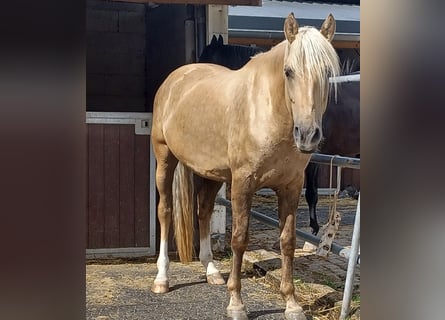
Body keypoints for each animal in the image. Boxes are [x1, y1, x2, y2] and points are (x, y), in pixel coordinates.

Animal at [151, 13, 338, 320]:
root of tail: (175, 79)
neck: (266, 111)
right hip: (165, 158)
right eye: (288, 71)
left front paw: (292, 304)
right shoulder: (242, 184)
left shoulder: (291, 187)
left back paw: (212, 271)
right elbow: (239, 239)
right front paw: (236, 303)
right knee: (165, 211)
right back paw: (162, 279)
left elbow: (287, 241)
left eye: (327, 73)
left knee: (203, 212)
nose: (308, 135)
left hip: (210, 174)